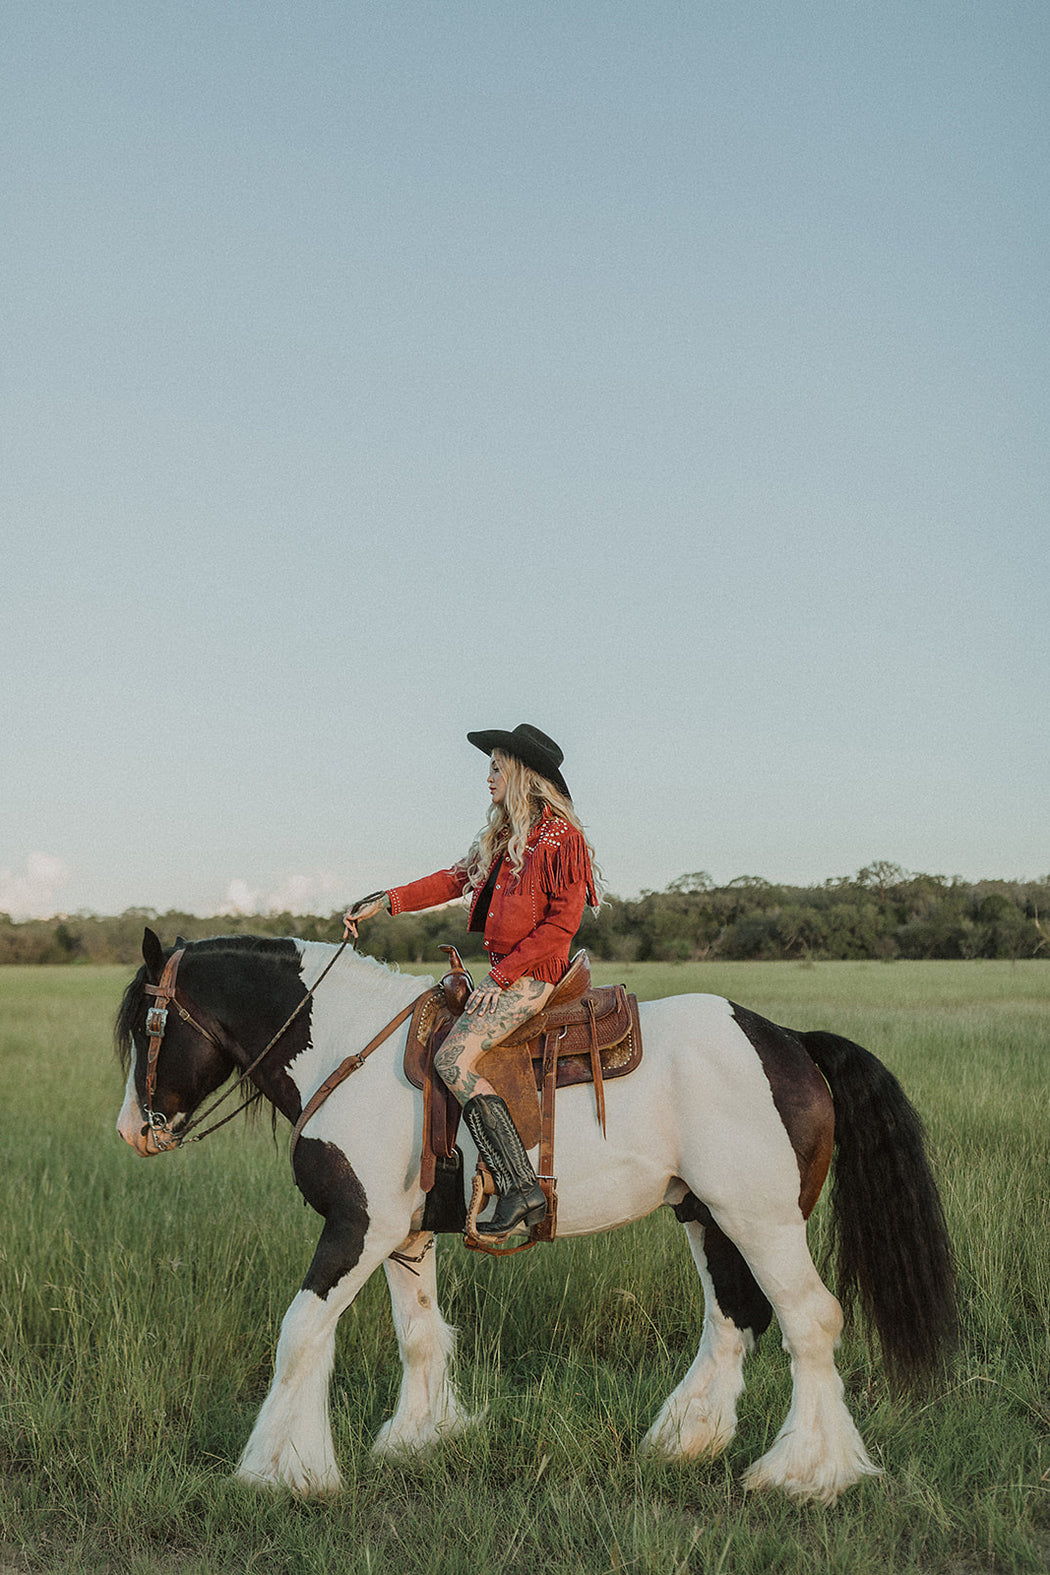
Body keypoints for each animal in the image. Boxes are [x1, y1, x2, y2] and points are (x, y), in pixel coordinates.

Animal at [118, 926, 957, 1505]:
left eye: (145, 1028)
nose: (133, 1129)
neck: (346, 1049)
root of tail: (788, 1041)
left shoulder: (356, 1229)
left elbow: (299, 1334)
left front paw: (277, 1469)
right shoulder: (406, 1236)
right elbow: (418, 1334)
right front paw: (418, 1438)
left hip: (762, 1221)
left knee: (809, 1321)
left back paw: (806, 1471)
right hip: (708, 1216)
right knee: (732, 1319)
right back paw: (685, 1441)